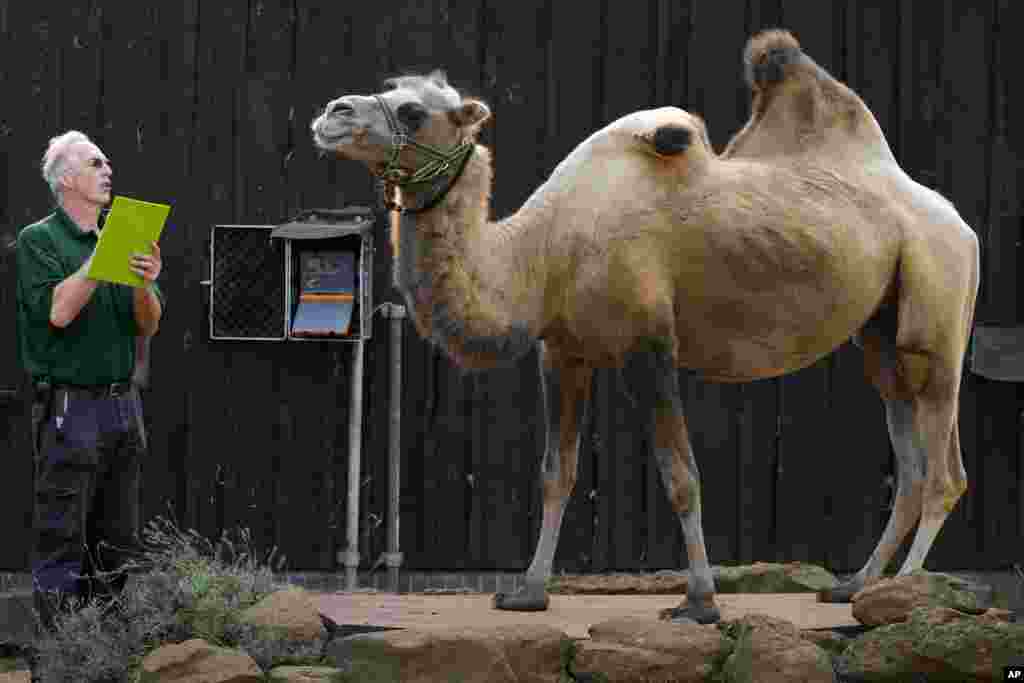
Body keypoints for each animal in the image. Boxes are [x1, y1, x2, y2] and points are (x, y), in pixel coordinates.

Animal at [309, 28, 974, 626]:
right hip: (879, 334)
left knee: (944, 468)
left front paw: (700, 602)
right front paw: (527, 592)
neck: (542, 251)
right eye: (389, 90)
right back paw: (854, 585)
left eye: (413, 112)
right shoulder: (563, 353)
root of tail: (958, 221)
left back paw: (904, 597)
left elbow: (681, 475)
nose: (332, 112)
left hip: (939, 308)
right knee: (911, 459)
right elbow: (556, 473)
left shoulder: (648, 344)